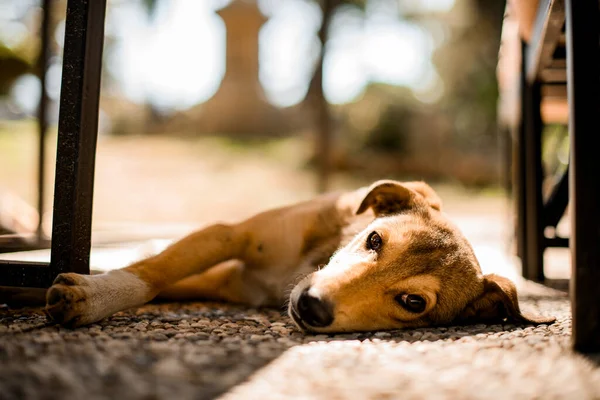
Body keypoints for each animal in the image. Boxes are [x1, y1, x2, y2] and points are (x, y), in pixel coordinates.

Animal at [44, 180, 556, 332]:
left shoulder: (225, 280)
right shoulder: (231, 236)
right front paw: (92, 296)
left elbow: (162, 278)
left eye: (414, 302)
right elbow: (152, 273)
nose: (311, 305)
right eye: (374, 240)